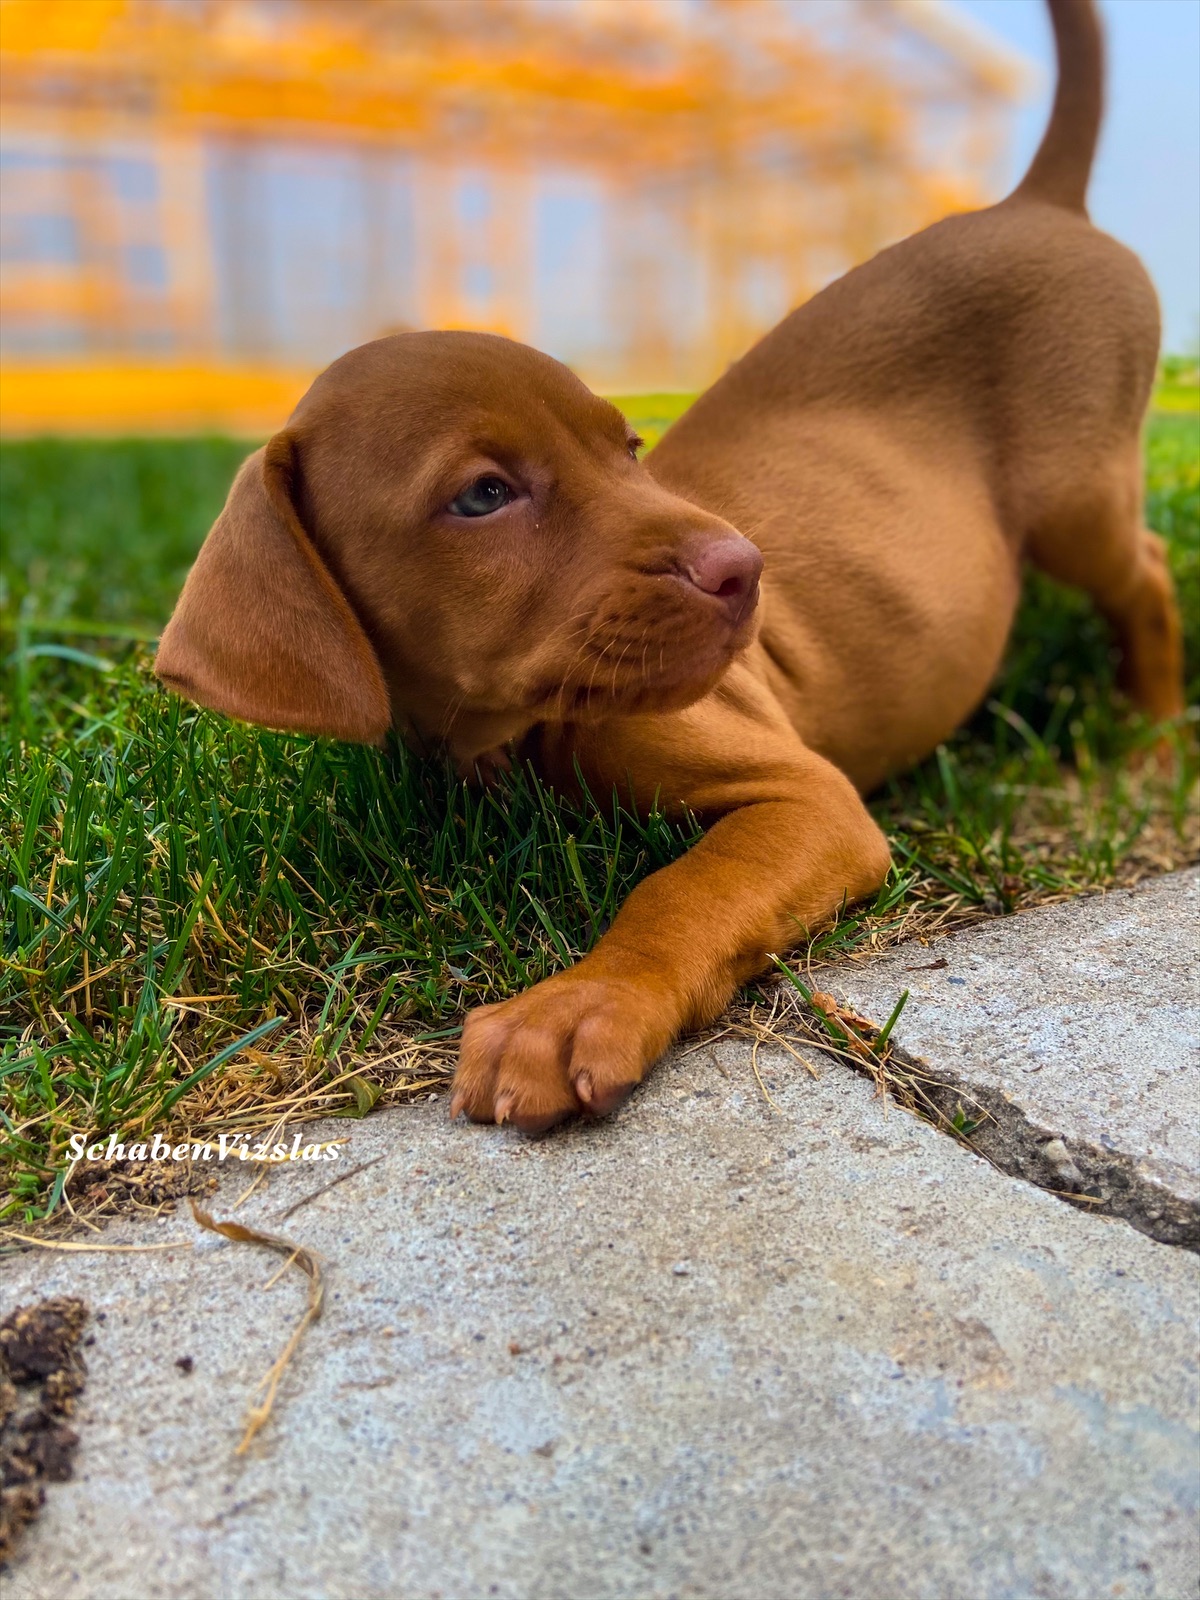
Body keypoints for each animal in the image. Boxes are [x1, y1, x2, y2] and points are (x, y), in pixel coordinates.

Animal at [157, 0, 1184, 1132]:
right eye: (482, 495)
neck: (502, 737)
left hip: (1077, 496)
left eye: (630, 448)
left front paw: (577, 1006)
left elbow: (681, 887)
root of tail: (1037, 199)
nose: (745, 568)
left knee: (1148, 570)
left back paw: (1149, 738)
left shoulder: (807, 800)